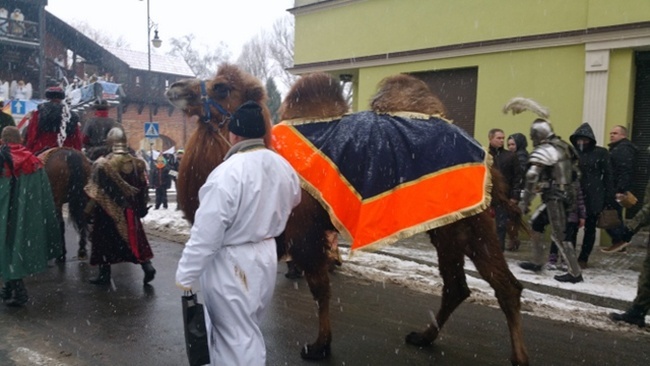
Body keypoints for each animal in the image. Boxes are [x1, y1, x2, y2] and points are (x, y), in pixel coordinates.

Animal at [165, 64, 528, 364]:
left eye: (221, 87)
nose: (175, 87)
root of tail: (486, 155)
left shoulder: (305, 232)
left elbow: (320, 288)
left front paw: (319, 346)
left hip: (469, 221)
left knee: (497, 285)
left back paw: (517, 357)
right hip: (452, 224)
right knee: (461, 285)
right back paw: (423, 337)